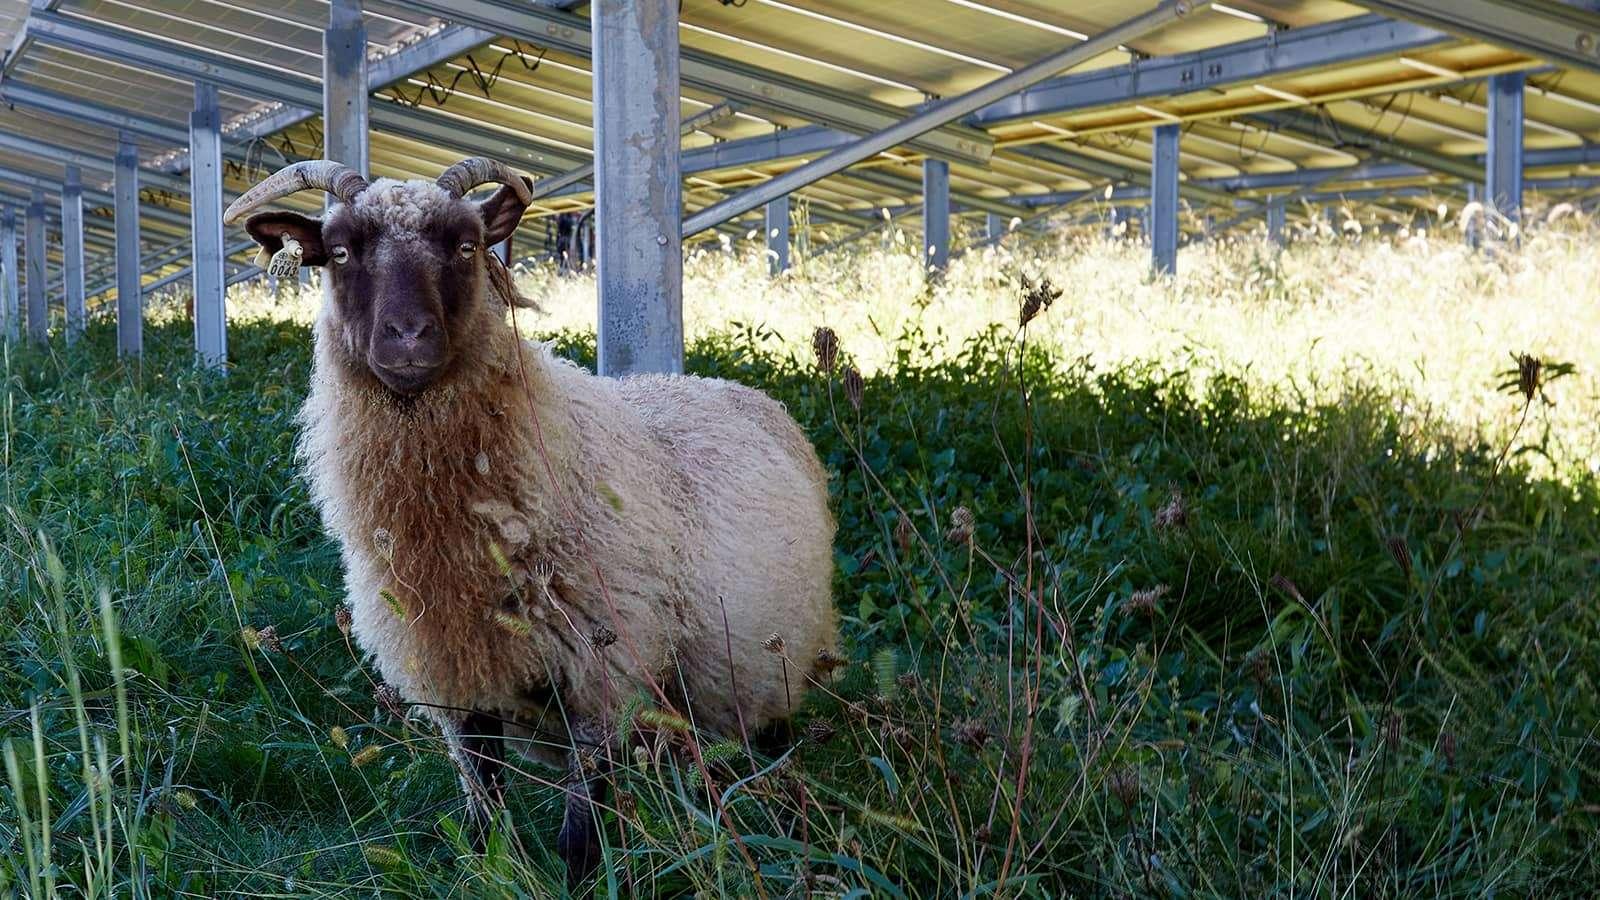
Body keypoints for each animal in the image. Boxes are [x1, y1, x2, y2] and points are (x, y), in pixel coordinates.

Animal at [223, 158, 840, 882]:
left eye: (465, 246)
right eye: (341, 252)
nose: (407, 338)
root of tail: (738, 390)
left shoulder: (602, 670)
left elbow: (580, 830)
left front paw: (580, 876)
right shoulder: (458, 673)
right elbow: (485, 812)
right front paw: (496, 866)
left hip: (773, 664)